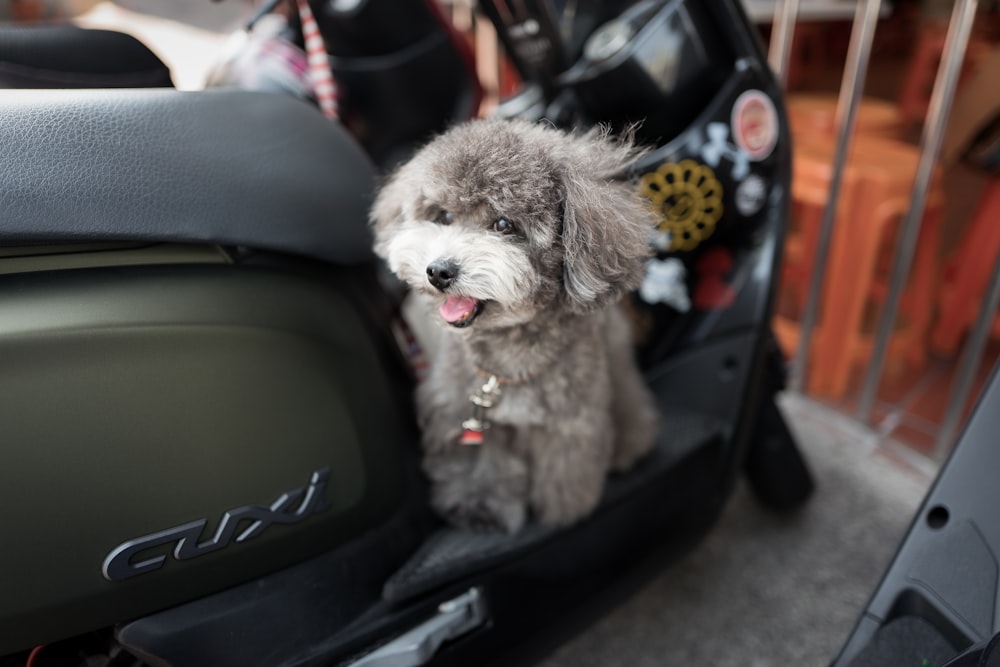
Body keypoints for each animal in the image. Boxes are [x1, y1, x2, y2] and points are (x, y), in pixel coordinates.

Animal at [372, 117, 660, 536]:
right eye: (443, 216)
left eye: (504, 224)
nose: (439, 271)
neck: (504, 364)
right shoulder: (466, 413)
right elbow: (482, 466)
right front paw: (478, 509)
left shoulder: (570, 422)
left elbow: (564, 470)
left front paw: (563, 512)